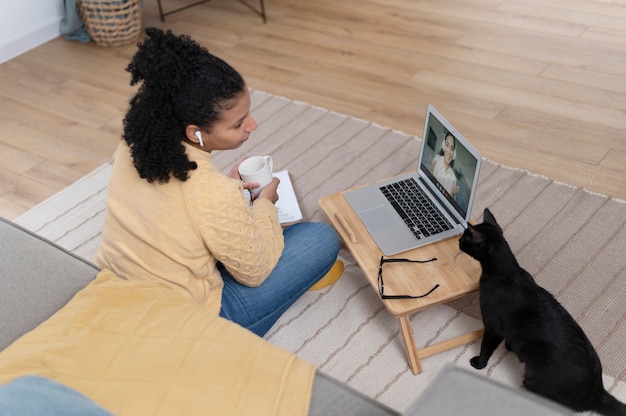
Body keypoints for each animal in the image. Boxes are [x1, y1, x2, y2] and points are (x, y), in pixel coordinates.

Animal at [456, 208, 620, 416]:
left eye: (465, 238)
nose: (458, 241)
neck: (507, 272)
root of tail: (596, 392)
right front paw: (510, 346)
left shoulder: (492, 327)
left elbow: (486, 347)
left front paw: (478, 364)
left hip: (531, 380)